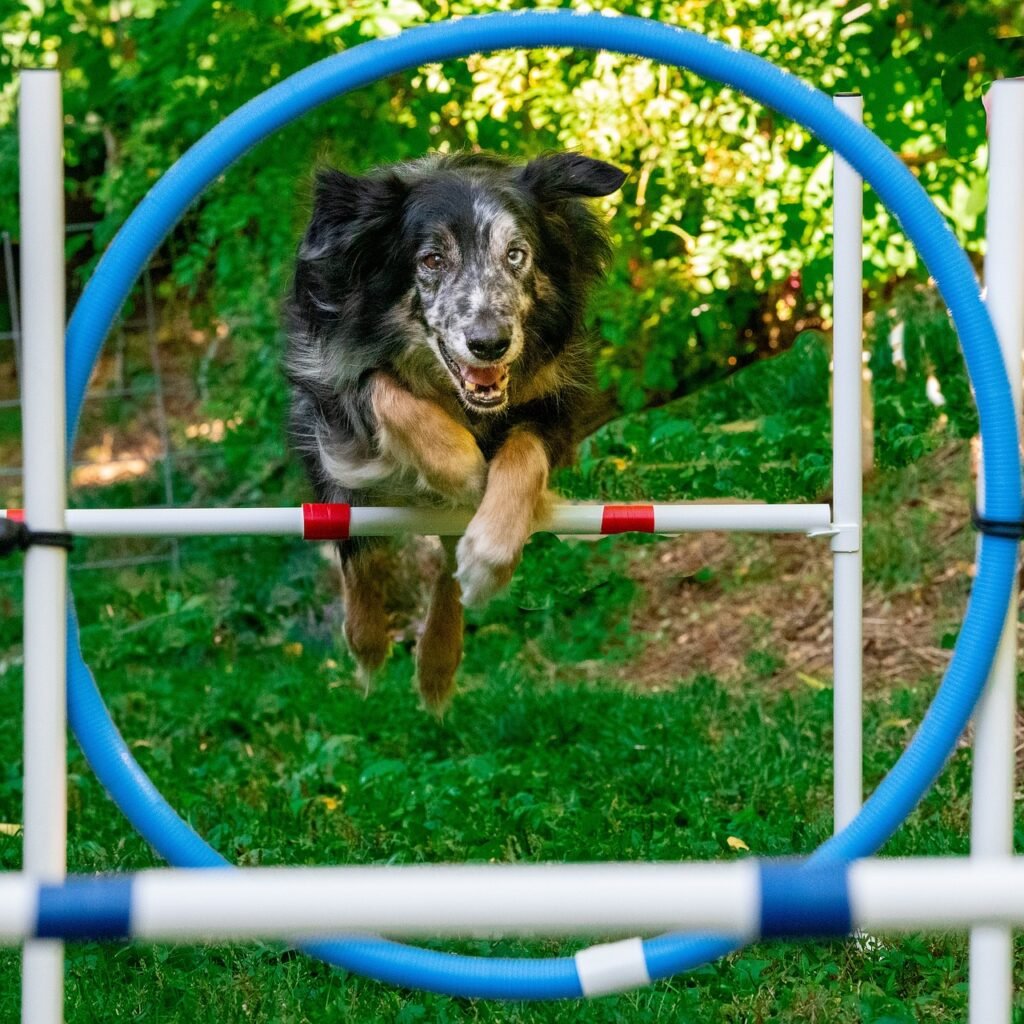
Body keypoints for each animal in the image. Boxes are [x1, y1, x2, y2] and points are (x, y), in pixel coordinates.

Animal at [284, 153, 626, 712]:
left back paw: (438, 660)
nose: (489, 343)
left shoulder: (557, 400)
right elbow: (382, 388)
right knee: (354, 543)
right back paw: (368, 639)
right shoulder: (329, 378)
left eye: (517, 254)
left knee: (445, 566)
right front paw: (462, 467)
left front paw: (490, 555)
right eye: (431, 260)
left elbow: (523, 454)